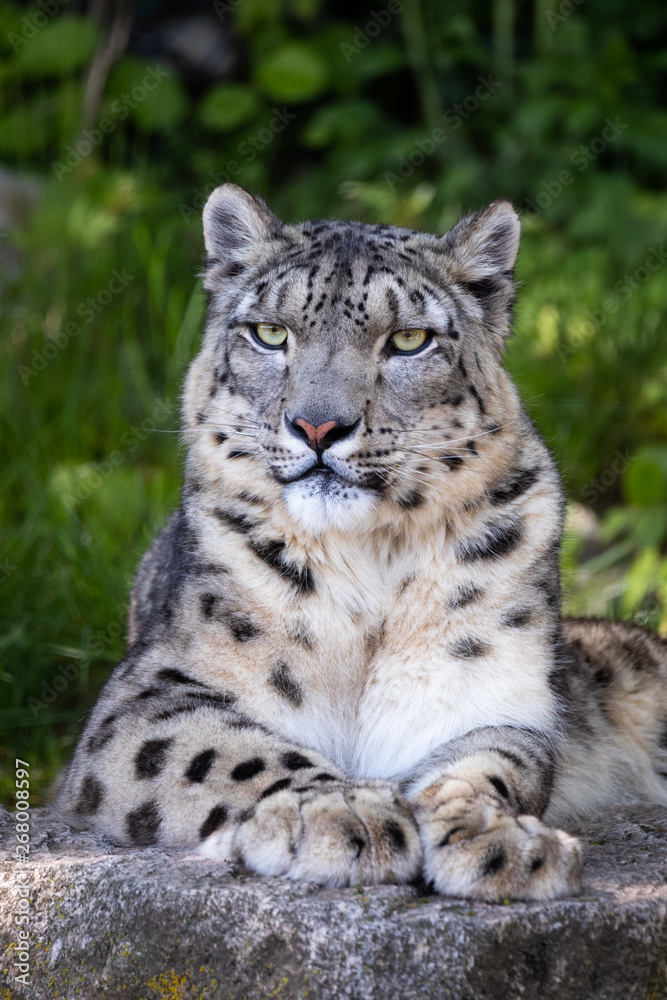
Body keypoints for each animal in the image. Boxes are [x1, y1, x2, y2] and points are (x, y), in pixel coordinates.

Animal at [57, 183, 667, 901]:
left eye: (408, 340)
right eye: (270, 332)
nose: (319, 426)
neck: (369, 564)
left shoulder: (490, 692)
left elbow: (490, 763)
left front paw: (500, 838)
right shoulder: (151, 694)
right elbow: (228, 751)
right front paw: (341, 812)